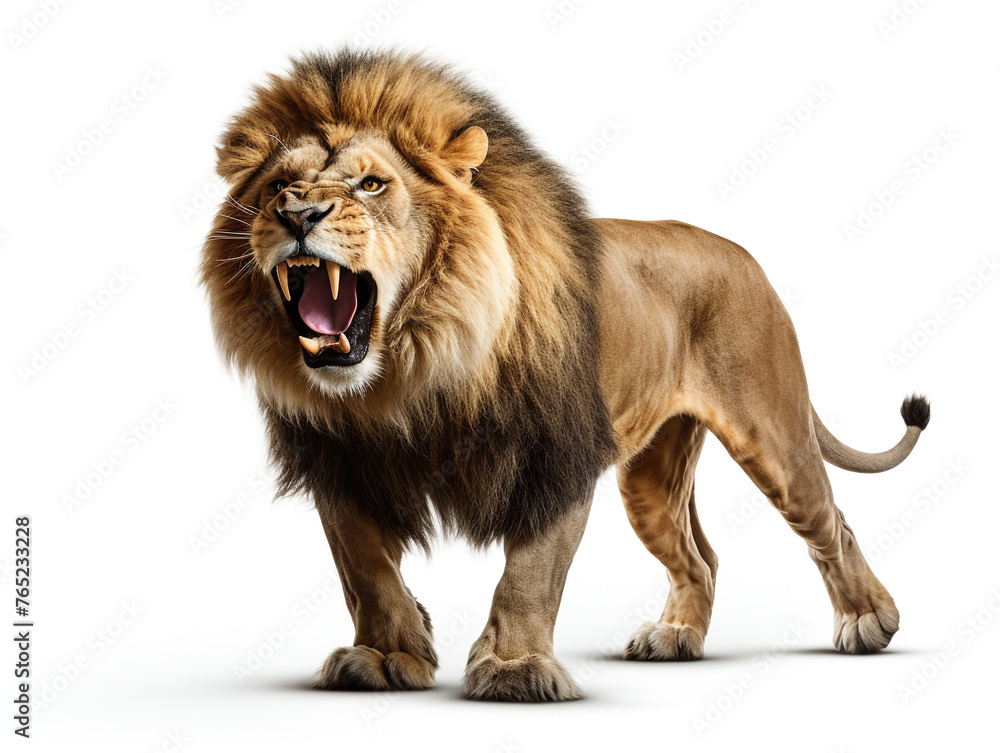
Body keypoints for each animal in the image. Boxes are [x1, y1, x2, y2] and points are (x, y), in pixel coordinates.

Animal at [201, 50, 930, 702]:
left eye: (371, 184)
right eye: (277, 187)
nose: (297, 215)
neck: (412, 370)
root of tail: (743, 254)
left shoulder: (553, 455)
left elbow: (530, 571)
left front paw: (514, 669)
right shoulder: (339, 464)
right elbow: (368, 571)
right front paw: (385, 657)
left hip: (771, 432)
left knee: (833, 522)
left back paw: (870, 620)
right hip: (651, 480)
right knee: (701, 557)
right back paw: (674, 636)